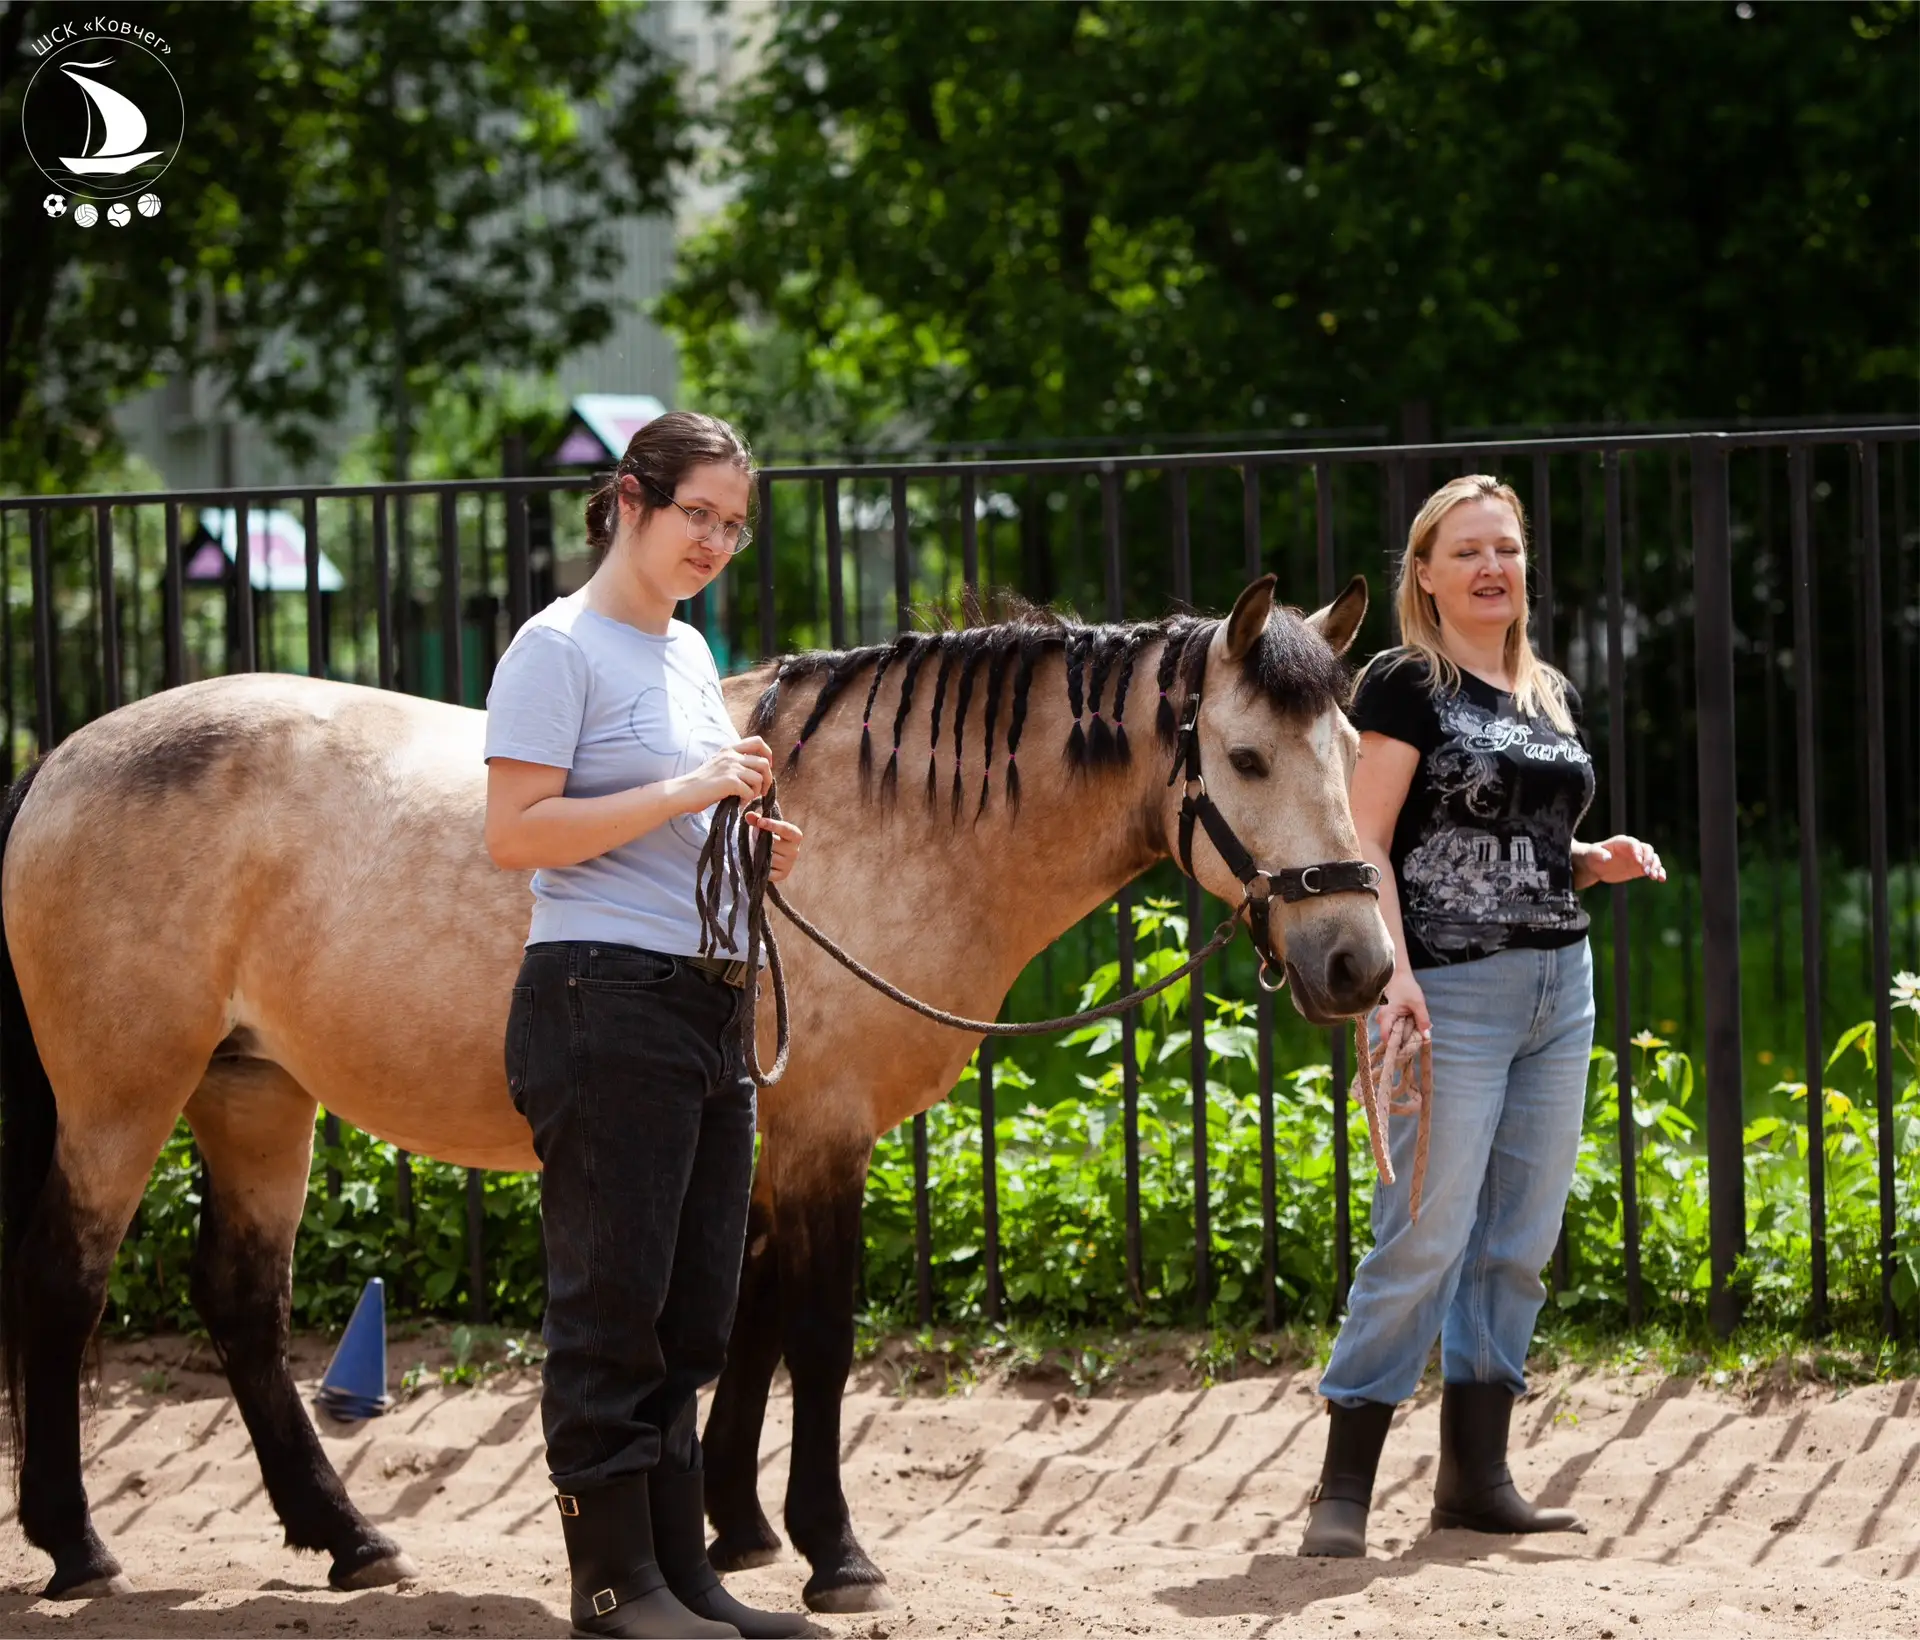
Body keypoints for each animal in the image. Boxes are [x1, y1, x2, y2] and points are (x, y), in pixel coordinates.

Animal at [0, 572, 1393, 1607]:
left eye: (1349, 750)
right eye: (1247, 757)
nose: (1358, 961)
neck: (892, 818)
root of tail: (65, 756)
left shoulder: (770, 1130)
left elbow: (745, 1320)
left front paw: (737, 1530)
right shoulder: (824, 1129)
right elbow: (815, 1334)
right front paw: (835, 1551)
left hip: (255, 1096)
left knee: (241, 1301)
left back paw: (349, 1537)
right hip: (124, 1095)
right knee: (65, 1283)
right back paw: (77, 1545)